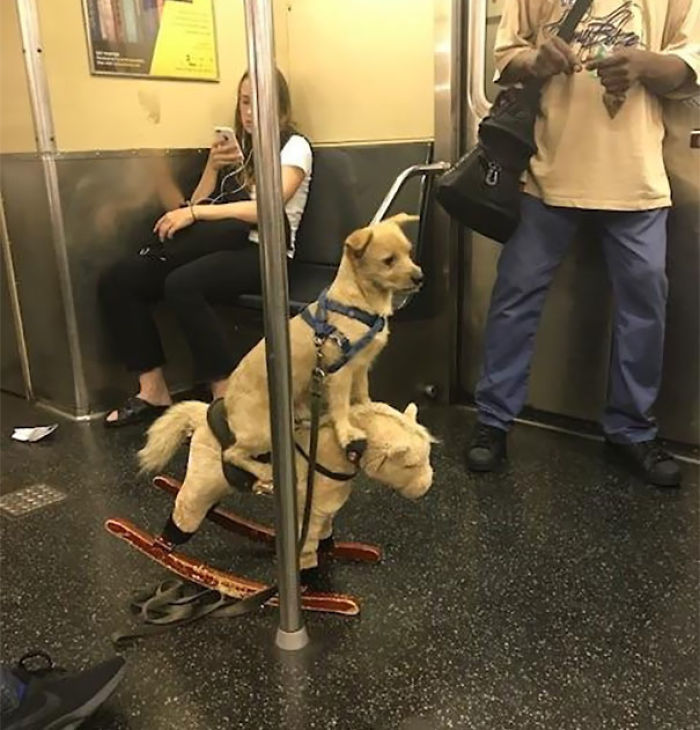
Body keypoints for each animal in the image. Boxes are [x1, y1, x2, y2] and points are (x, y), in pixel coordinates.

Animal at [137, 398, 434, 568]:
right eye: (410, 465)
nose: (427, 487)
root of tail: (202, 416)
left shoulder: (325, 508)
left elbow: (326, 537)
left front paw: (332, 552)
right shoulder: (308, 517)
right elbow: (308, 553)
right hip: (201, 484)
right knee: (185, 514)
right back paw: (161, 548)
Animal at [223, 212, 422, 484]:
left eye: (409, 252)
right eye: (389, 261)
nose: (420, 277)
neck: (360, 302)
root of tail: (227, 403)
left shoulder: (361, 367)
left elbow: (362, 394)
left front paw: (370, 410)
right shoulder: (341, 374)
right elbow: (341, 405)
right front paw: (347, 432)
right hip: (263, 433)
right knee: (231, 454)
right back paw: (264, 471)